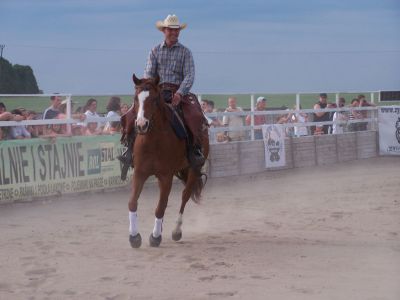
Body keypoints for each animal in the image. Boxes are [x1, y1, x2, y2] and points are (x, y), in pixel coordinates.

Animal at [128, 74, 209, 248]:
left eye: (154, 99)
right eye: (136, 99)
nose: (141, 125)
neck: (153, 141)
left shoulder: (166, 176)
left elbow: (161, 207)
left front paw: (155, 237)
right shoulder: (139, 173)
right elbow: (132, 202)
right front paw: (134, 237)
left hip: (194, 169)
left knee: (185, 196)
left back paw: (176, 231)